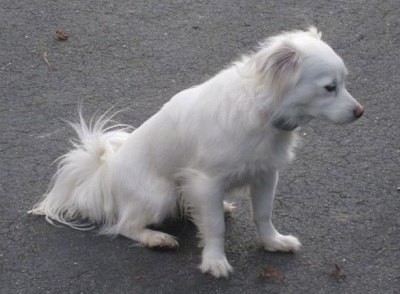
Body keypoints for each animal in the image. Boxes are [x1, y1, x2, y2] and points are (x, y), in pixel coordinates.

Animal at [29, 27, 364, 278]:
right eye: (329, 87)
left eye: (344, 83)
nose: (360, 112)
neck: (262, 112)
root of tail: (105, 174)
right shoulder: (207, 180)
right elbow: (214, 227)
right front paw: (215, 262)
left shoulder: (266, 175)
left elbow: (263, 214)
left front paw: (274, 243)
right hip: (161, 193)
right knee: (124, 225)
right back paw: (156, 238)